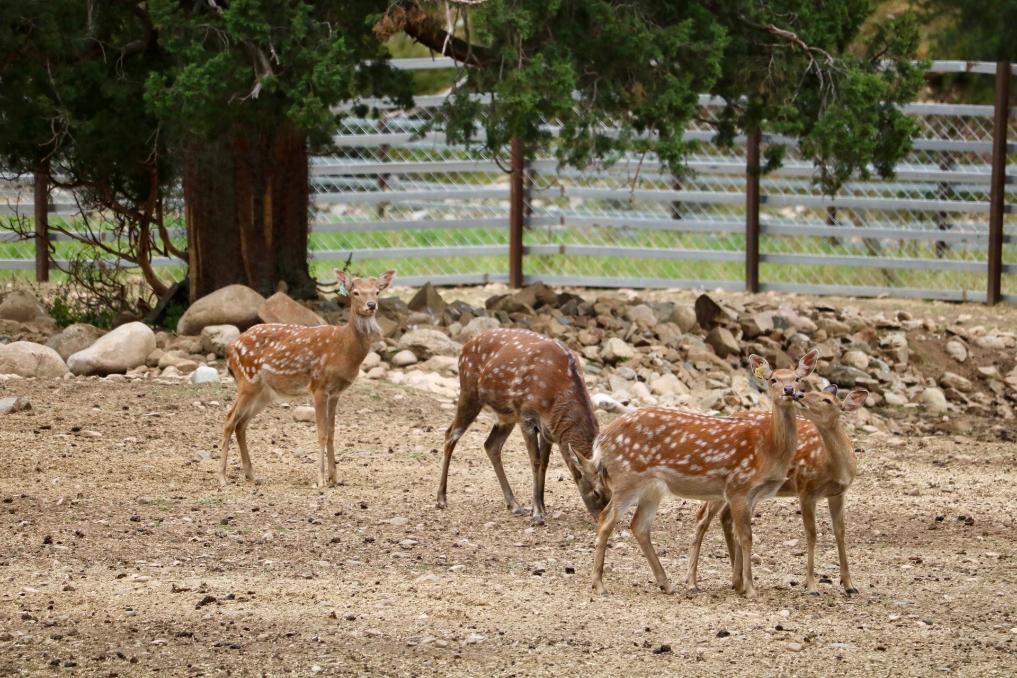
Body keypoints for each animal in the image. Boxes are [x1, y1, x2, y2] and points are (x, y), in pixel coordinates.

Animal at [217, 269, 395, 488]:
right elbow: (321, 433)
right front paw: (320, 480)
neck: (343, 348)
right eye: (355, 292)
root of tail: (229, 348)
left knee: (241, 423)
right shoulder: (318, 386)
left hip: (264, 393)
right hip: (247, 381)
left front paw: (335, 477)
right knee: (229, 419)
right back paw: (223, 478)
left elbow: (332, 432)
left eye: (377, 291)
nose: (371, 305)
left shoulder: (336, 392)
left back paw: (252, 474)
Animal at [436, 328, 609, 525]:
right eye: (596, 492)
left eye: (612, 492)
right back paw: (441, 499)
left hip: (506, 415)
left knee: (491, 445)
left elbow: (544, 464)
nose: (602, 519)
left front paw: (541, 506)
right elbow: (535, 461)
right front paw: (537, 514)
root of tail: (465, 345)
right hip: (469, 393)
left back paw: (514, 504)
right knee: (450, 434)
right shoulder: (527, 417)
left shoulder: (549, 429)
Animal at [582, 349, 818, 598]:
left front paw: (742, 584)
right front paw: (750, 589)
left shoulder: (753, 494)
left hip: (651, 487)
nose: (789, 390)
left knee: (639, 525)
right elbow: (746, 537)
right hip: (626, 479)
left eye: (797, 378)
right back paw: (599, 584)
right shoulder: (738, 486)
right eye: (773, 379)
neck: (768, 449)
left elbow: (740, 535)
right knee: (606, 519)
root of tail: (601, 441)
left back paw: (666, 584)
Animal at [685, 385, 868, 595]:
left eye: (827, 400)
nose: (799, 394)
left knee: (726, 518)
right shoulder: (806, 488)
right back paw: (693, 582)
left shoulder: (838, 493)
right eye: (811, 392)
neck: (836, 467)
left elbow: (840, 532)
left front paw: (849, 585)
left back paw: (737, 579)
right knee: (703, 517)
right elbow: (811, 534)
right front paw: (811, 585)